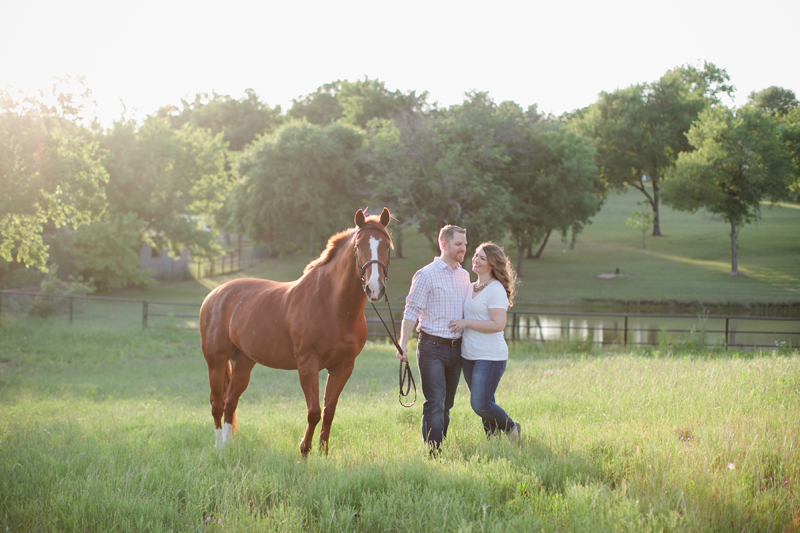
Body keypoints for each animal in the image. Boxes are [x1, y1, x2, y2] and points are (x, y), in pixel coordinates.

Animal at [200, 207, 394, 454]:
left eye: (386, 246)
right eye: (358, 246)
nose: (375, 289)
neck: (332, 305)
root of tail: (214, 294)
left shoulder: (342, 367)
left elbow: (329, 412)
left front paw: (323, 452)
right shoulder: (307, 364)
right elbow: (314, 412)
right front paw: (304, 451)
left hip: (243, 362)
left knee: (230, 403)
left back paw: (228, 446)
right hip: (216, 362)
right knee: (217, 403)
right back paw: (219, 447)